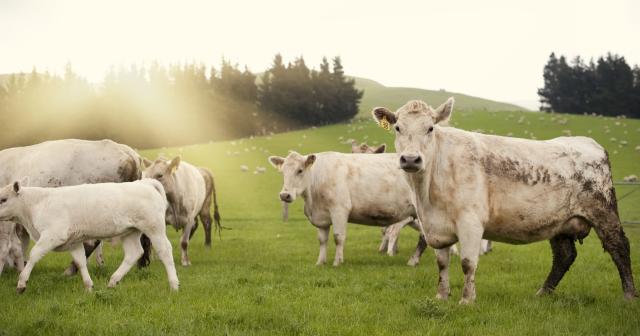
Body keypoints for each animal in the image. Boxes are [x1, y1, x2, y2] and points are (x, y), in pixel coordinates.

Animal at [0, 180, 178, 292]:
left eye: (3, 199)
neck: (38, 203)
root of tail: (144, 183)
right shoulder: (73, 241)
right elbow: (80, 262)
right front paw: (89, 286)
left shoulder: (52, 235)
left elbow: (34, 254)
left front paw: (22, 283)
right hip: (130, 232)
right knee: (134, 253)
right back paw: (113, 281)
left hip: (154, 228)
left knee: (165, 251)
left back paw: (174, 285)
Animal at [268, 152, 428, 266]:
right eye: (282, 172)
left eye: (300, 170)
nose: (284, 195)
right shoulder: (322, 217)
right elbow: (322, 240)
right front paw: (320, 262)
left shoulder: (339, 210)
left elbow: (338, 237)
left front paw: (337, 262)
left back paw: (413, 261)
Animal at [372, 98, 636, 304]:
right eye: (397, 127)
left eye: (430, 128)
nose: (411, 159)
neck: (428, 194)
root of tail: (588, 143)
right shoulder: (435, 227)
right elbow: (442, 263)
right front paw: (442, 296)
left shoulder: (470, 222)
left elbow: (468, 263)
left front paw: (467, 300)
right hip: (560, 221)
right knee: (564, 255)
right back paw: (543, 292)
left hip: (603, 211)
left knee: (618, 246)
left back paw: (629, 295)